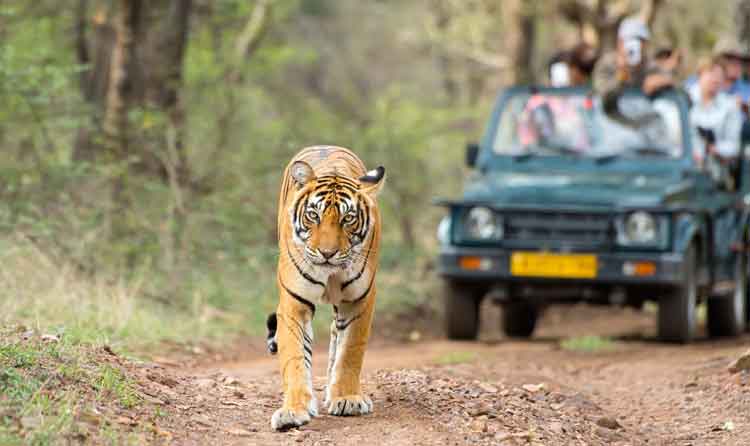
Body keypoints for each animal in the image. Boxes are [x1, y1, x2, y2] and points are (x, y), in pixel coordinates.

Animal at [268, 145, 384, 430]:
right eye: (313, 215)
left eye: (348, 218)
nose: (327, 253)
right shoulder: (293, 302)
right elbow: (295, 357)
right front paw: (293, 410)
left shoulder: (359, 300)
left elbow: (350, 351)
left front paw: (347, 398)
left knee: (336, 336)